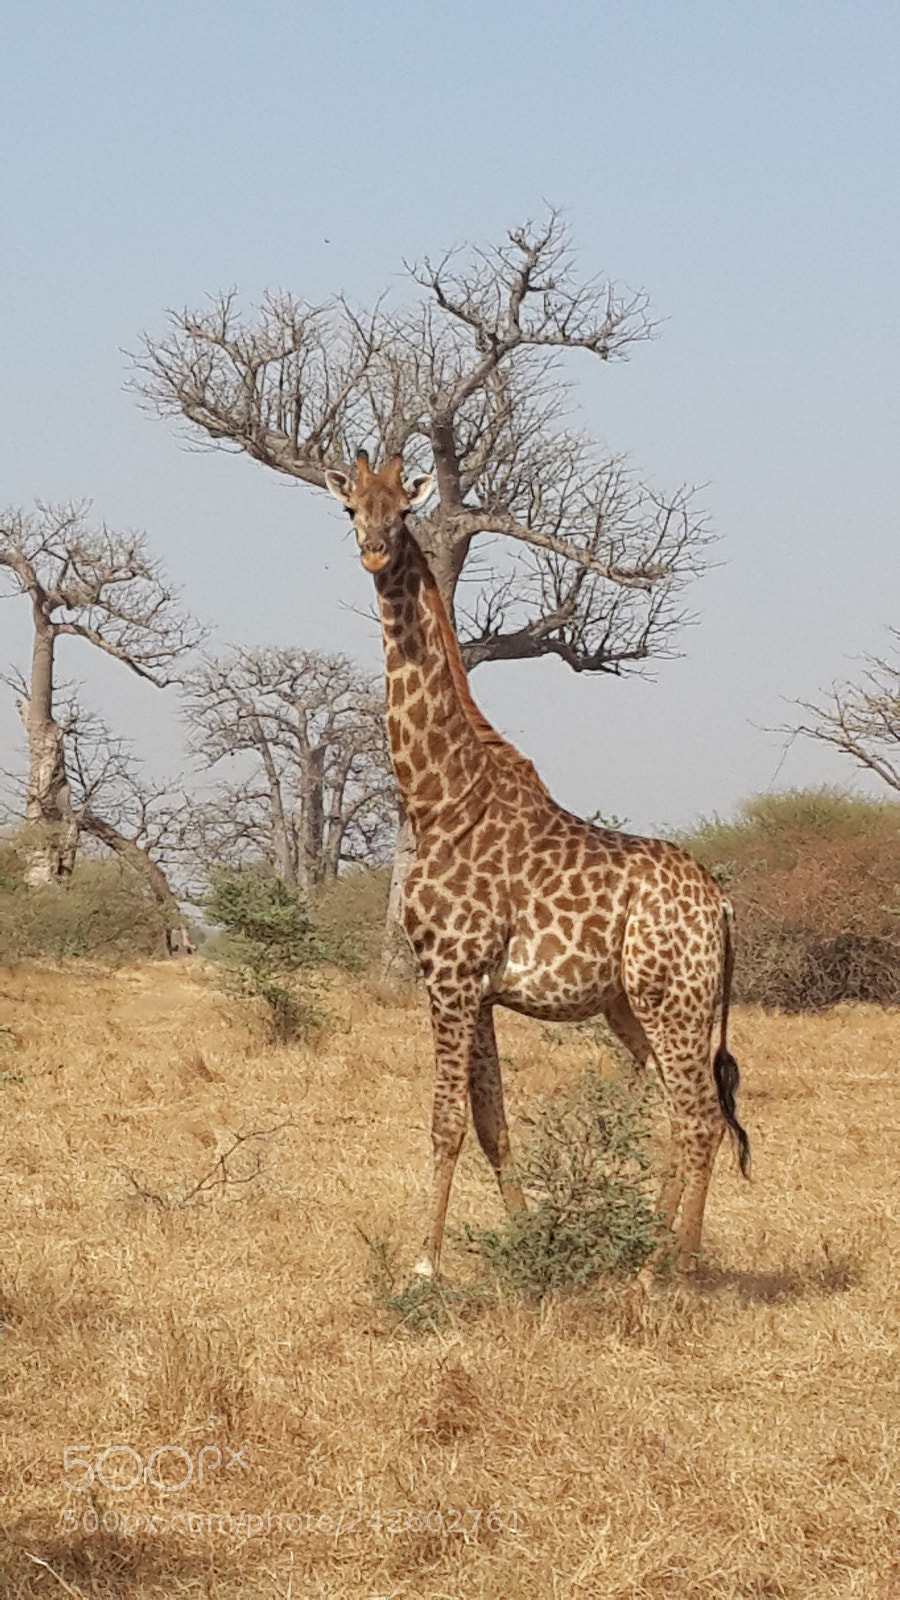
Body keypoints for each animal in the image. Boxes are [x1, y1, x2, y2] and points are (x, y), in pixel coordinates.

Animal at [325, 451, 750, 1277]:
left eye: (404, 509)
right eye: (350, 508)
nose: (373, 551)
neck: (439, 798)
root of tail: (719, 905)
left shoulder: (452, 976)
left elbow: (445, 1121)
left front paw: (425, 1264)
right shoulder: (477, 988)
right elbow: (492, 1122)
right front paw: (523, 1242)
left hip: (674, 998)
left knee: (700, 1117)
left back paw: (667, 1268)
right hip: (634, 1006)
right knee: (677, 1112)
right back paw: (649, 1247)